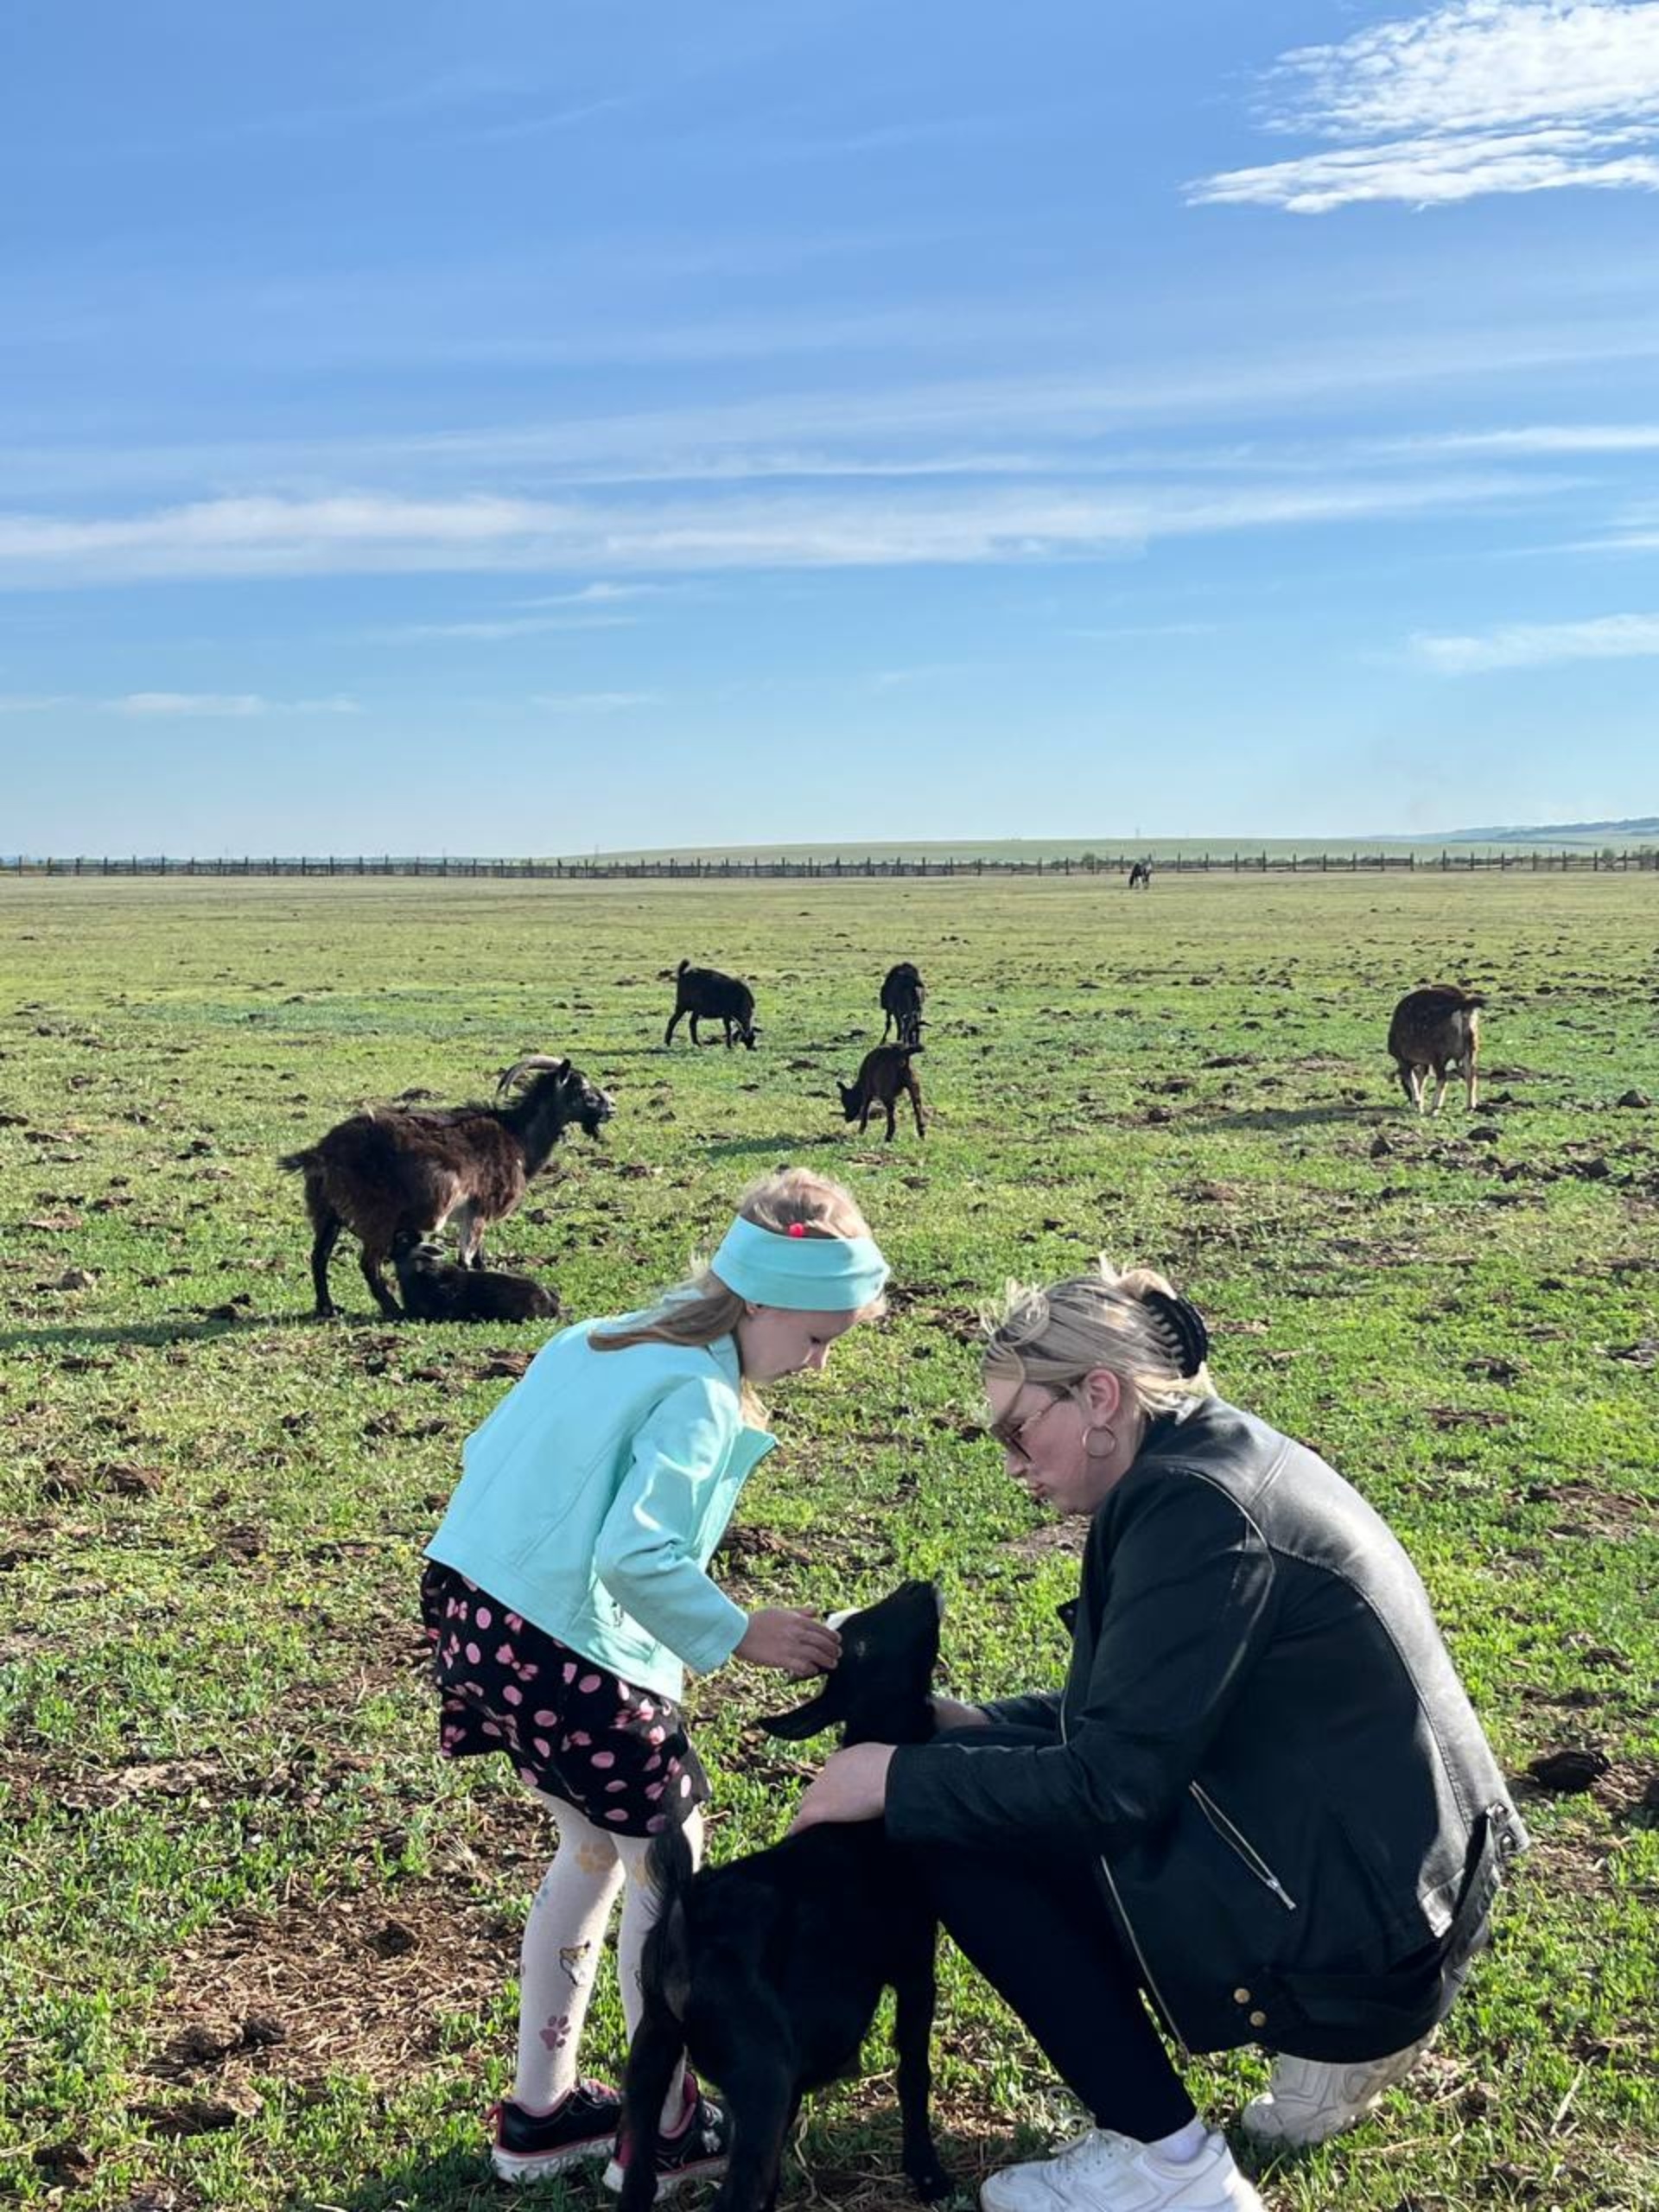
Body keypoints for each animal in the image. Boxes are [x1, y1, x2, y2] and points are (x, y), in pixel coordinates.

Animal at [279, 1052, 619, 1309]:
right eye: (583, 1090)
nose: (612, 1107)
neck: (518, 1138)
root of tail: (321, 1152)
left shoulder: (470, 1214)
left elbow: (479, 1257)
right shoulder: (480, 1207)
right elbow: (467, 1258)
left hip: (326, 1210)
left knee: (319, 1256)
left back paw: (327, 1308)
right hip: (377, 1215)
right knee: (368, 1264)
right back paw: (392, 1309)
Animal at [614, 1583, 955, 2212]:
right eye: (862, 1643)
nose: (920, 1586)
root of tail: (688, 1916)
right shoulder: (915, 1965)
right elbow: (913, 2072)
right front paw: (926, 2173)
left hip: (653, 2049)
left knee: (639, 2180)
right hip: (760, 2069)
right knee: (735, 2194)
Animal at [1380, 986, 1486, 1115]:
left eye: (1403, 1085)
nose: (1409, 1099)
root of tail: (1463, 1003)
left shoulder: (1403, 1059)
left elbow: (1412, 1080)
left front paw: (1418, 1104)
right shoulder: (1424, 1062)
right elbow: (1422, 1079)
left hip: (1438, 1055)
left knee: (1443, 1078)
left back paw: (1434, 1108)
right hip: (1472, 1046)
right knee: (1471, 1074)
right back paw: (1470, 1107)